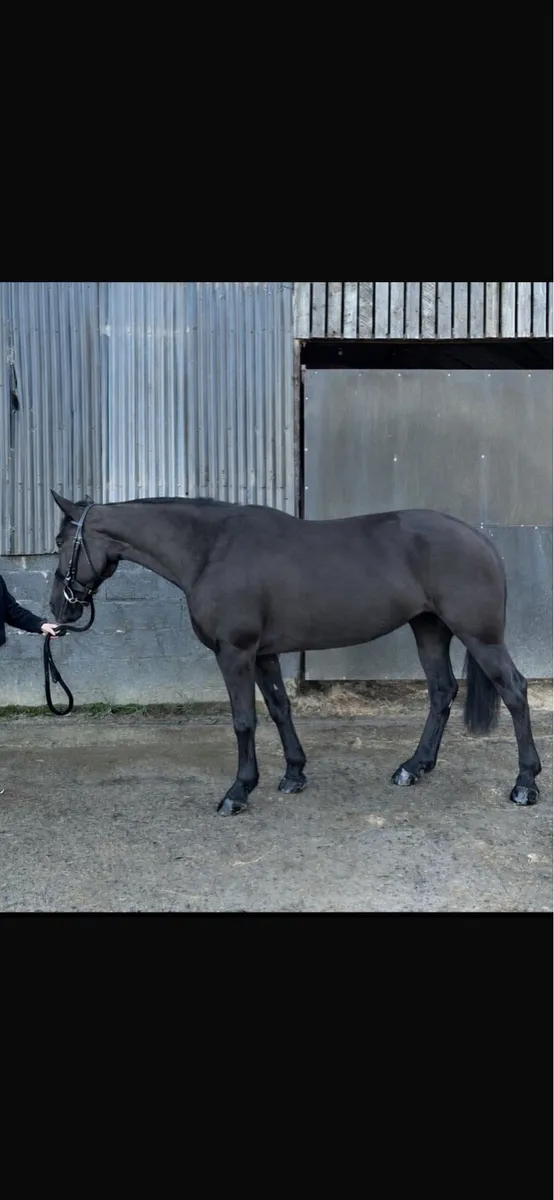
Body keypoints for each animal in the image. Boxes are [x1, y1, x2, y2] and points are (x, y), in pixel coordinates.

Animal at [49, 491, 542, 815]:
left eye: (60, 542)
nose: (58, 608)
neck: (211, 551)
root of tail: (481, 541)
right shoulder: (263, 654)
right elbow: (280, 708)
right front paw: (293, 774)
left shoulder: (235, 653)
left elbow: (244, 720)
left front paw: (238, 792)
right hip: (430, 630)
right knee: (441, 692)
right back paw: (413, 768)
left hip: (479, 637)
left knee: (515, 692)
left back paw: (525, 783)